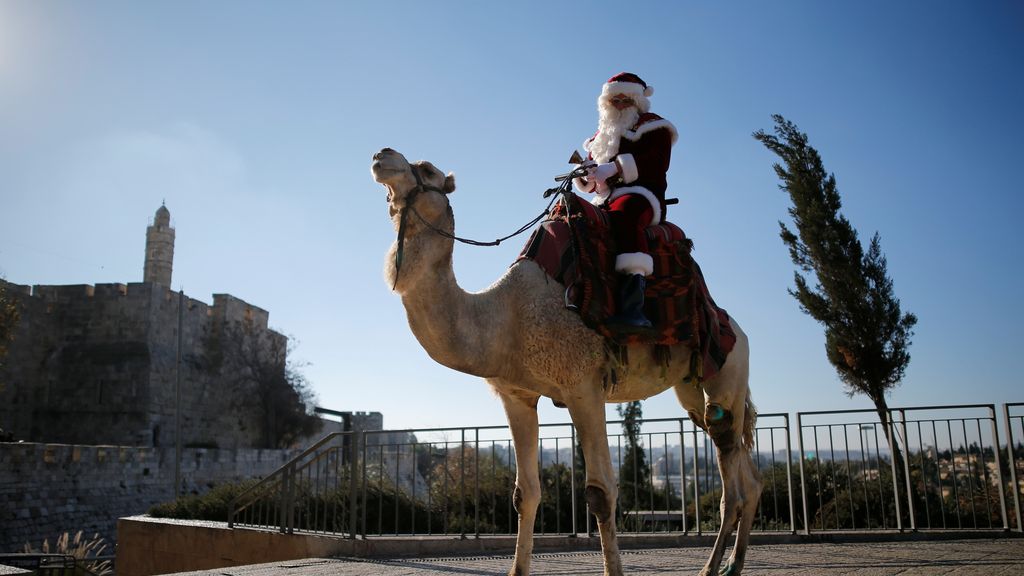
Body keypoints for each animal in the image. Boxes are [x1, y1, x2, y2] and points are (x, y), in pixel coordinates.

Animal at [371, 148, 761, 576]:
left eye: (427, 170)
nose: (381, 156)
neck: (504, 317)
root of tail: (738, 331)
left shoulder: (582, 387)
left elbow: (601, 491)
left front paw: (613, 570)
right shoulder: (517, 395)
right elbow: (524, 493)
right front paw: (517, 569)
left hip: (727, 371)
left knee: (731, 484)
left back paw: (711, 567)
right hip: (694, 389)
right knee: (747, 475)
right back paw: (733, 564)